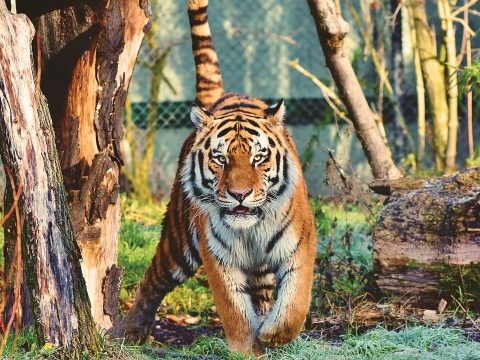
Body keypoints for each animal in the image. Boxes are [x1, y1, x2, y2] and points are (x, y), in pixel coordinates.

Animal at [114, 0, 316, 354]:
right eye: (221, 159)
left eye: (258, 158)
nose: (240, 195)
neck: (251, 230)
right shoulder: (218, 256)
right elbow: (234, 311)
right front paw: (246, 349)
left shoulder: (300, 243)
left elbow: (295, 303)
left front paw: (272, 335)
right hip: (178, 242)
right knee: (152, 280)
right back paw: (131, 331)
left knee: (263, 295)